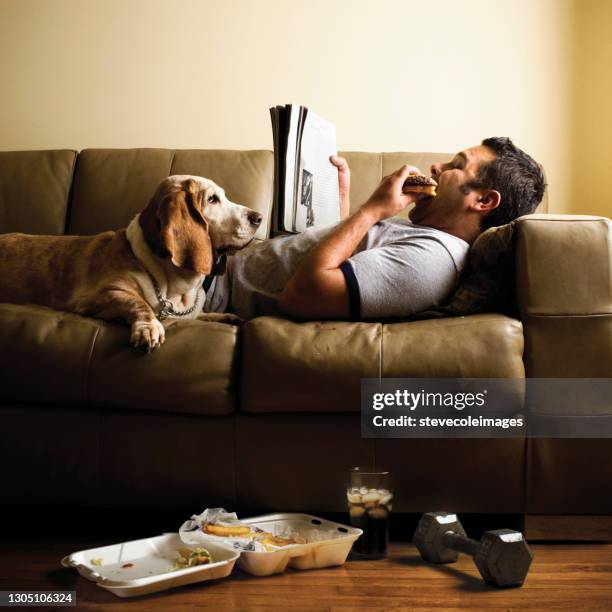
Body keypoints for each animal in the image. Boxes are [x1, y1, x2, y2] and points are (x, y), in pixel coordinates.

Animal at [0, 175, 260, 352]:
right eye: (213, 199)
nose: (258, 217)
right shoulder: (103, 294)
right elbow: (138, 303)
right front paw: (148, 327)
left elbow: (199, 315)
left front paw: (223, 317)